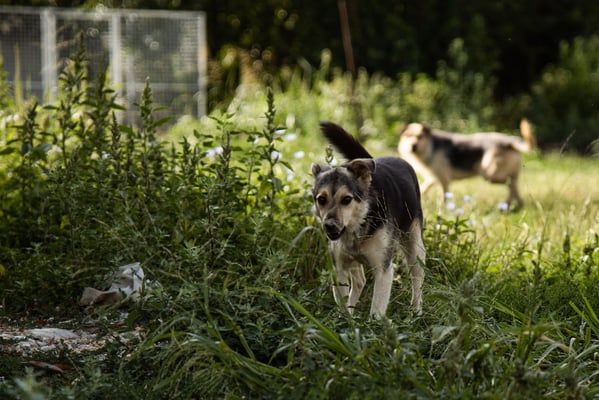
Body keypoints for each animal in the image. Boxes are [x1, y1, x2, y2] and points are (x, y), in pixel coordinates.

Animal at [311, 122, 425, 317]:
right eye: (321, 199)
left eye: (347, 200)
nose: (330, 226)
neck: (360, 222)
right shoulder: (339, 267)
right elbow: (342, 299)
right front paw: (345, 320)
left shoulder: (383, 270)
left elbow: (377, 310)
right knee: (359, 280)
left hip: (414, 244)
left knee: (416, 276)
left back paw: (416, 311)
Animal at [398, 119, 535, 210]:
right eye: (408, 136)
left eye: (420, 136)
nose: (413, 146)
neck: (430, 146)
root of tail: (510, 143)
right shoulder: (433, 176)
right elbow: (424, 187)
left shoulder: (443, 178)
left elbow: (443, 195)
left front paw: (443, 208)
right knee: (514, 184)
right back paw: (514, 205)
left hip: (489, 174)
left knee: (511, 183)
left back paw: (510, 204)